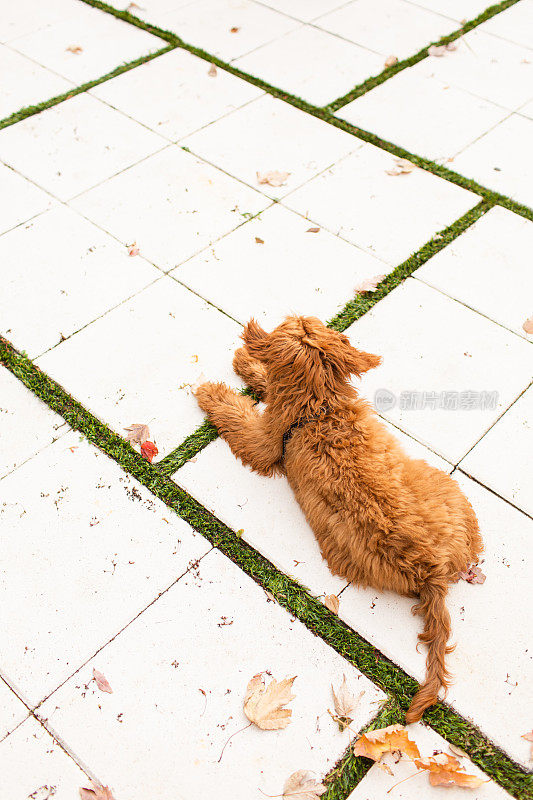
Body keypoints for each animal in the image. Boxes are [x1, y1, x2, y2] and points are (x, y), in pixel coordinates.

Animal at [194, 316, 482, 720]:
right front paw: (247, 365)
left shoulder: (262, 442)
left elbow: (238, 413)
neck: (321, 407)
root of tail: (432, 571)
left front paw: (212, 390)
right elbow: (267, 381)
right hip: (450, 491)